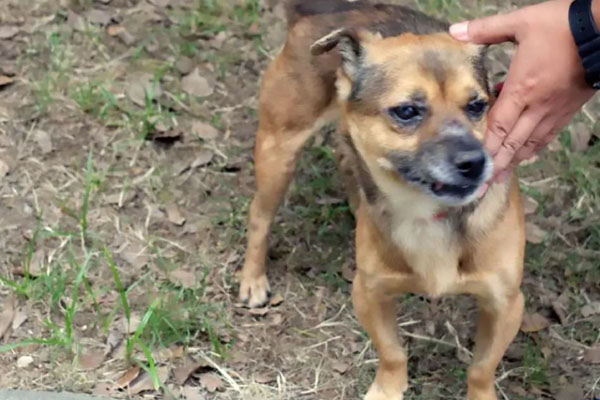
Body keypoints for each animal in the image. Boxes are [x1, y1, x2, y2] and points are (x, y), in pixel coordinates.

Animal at [238, 1, 524, 398]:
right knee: (259, 216)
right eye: (407, 111)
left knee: (346, 160)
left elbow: (482, 368)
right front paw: (387, 389)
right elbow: (392, 352)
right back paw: (253, 279)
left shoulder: (506, 304)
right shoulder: (369, 293)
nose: (474, 162)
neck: (425, 213)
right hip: (278, 151)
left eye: (477, 106)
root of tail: (322, 10)